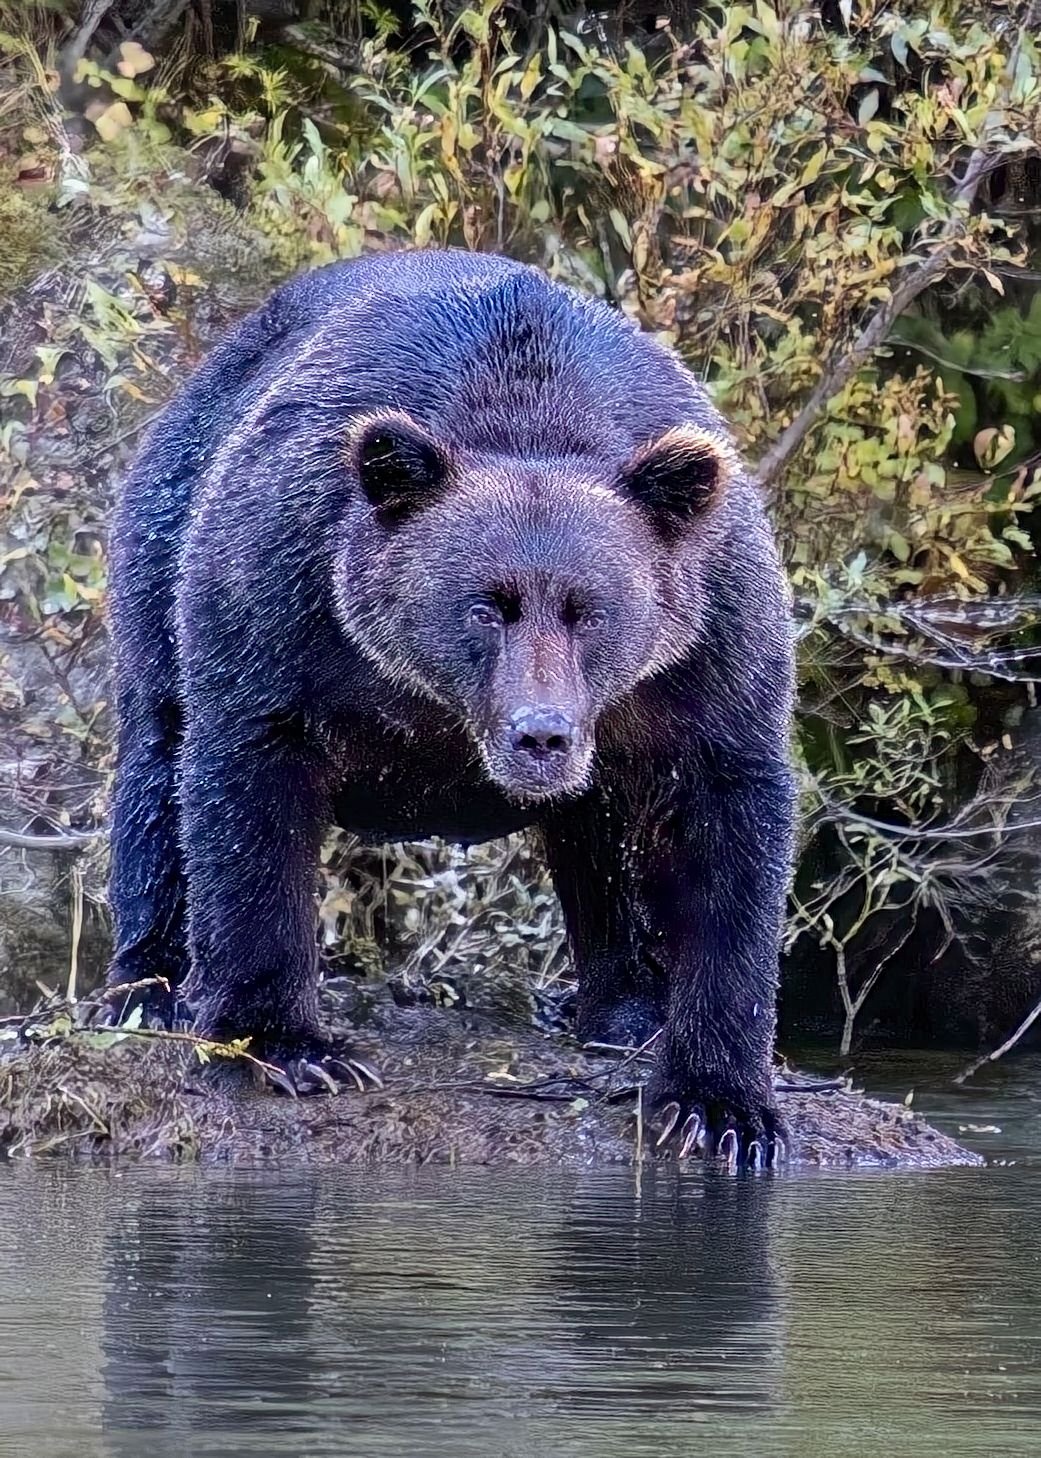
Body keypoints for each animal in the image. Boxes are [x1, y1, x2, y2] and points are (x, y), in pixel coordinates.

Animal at [105, 248, 797, 1165]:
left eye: (589, 610)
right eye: (484, 606)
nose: (541, 734)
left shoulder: (706, 643)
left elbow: (726, 827)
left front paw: (722, 1105)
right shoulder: (286, 590)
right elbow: (248, 789)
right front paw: (289, 1045)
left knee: (601, 833)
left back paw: (624, 1003)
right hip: (168, 524)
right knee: (156, 761)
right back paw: (149, 985)